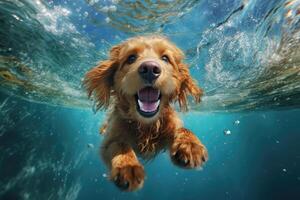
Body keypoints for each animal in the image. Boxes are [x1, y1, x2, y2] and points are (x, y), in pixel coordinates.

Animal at [83, 35, 207, 191]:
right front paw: (128, 166)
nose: (150, 69)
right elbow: (120, 145)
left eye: (165, 58)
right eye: (131, 58)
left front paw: (191, 145)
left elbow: (183, 129)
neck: (146, 126)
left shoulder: (169, 128)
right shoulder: (109, 141)